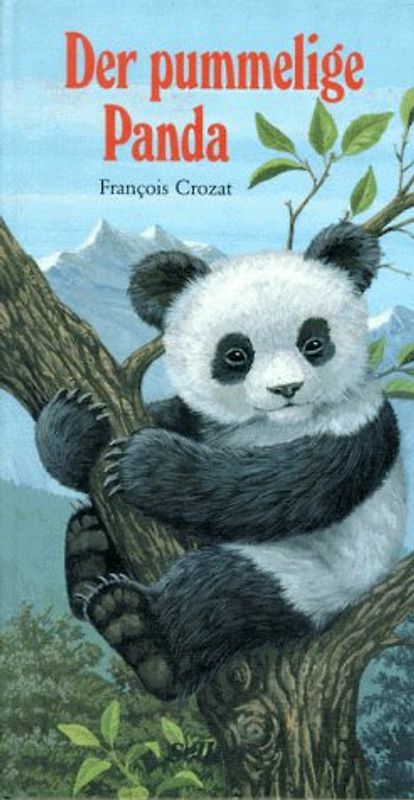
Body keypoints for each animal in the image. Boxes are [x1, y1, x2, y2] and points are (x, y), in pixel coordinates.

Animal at [35, 222, 406, 696]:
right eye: (236, 354)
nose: (286, 389)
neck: (274, 424)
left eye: (314, 342)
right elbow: (163, 417)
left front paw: (144, 464)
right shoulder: (205, 423)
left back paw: (138, 632)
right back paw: (89, 549)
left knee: (222, 591)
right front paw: (73, 426)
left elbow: (272, 491)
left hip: (316, 580)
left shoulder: (356, 424)